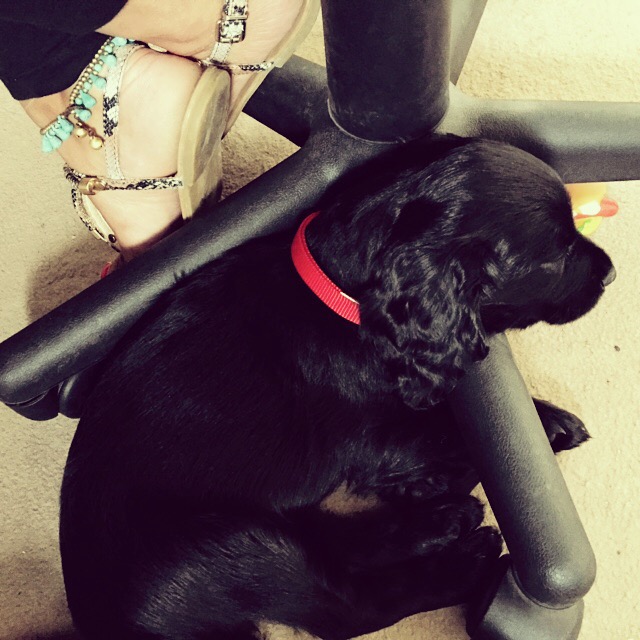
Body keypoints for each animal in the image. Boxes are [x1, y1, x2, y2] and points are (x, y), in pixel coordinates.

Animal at [59, 137, 614, 640]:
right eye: (556, 257)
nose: (610, 274)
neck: (339, 296)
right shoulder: (381, 442)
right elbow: (448, 428)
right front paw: (550, 425)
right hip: (234, 545)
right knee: (348, 607)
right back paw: (465, 560)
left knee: (336, 545)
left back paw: (441, 521)